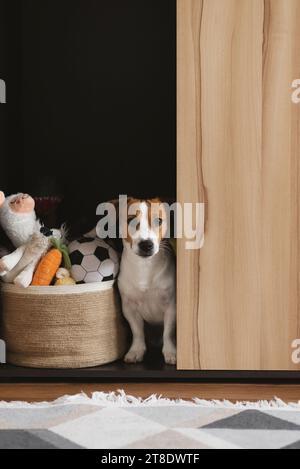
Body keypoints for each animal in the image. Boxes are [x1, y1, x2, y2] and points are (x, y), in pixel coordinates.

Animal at [115, 196, 176, 364]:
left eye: (158, 221)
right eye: (130, 220)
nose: (146, 244)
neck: (144, 267)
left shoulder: (171, 306)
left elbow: (168, 332)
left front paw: (170, 352)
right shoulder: (129, 308)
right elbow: (137, 331)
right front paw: (136, 350)